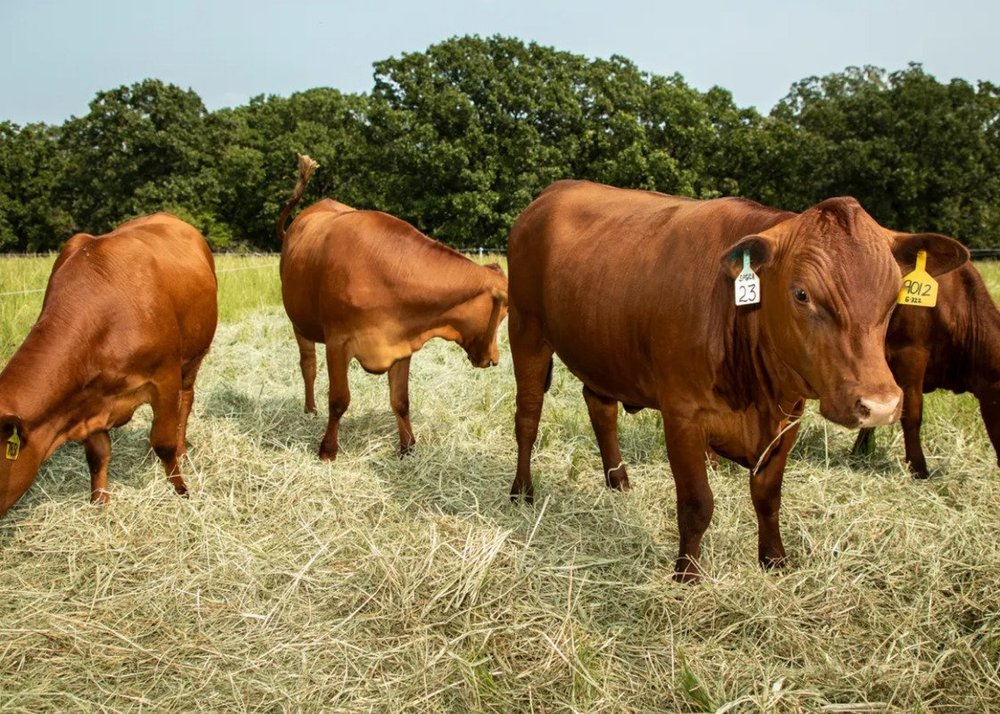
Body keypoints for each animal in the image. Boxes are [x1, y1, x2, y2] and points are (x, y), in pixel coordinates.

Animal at [0, 213, 218, 518]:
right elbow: (97, 454)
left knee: (185, 402)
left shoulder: (164, 377)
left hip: (193, 358)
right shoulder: (88, 399)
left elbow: (163, 443)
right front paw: (99, 504)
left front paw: (181, 491)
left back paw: (183, 449)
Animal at [275, 155, 508, 460]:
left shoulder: (401, 344)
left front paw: (408, 447)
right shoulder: (338, 343)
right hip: (300, 323)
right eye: (503, 315)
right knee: (308, 366)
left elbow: (401, 400)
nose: (494, 359)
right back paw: (310, 410)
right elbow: (338, 400)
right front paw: (327, 451)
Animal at [507, 180, 968, 581]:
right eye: (801, 294)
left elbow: (768, 496)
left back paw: (618, 483)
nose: (880, 404)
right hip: (526, 333)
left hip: (601, 352)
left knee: (600, 409)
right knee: (527, 418)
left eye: (895, 296)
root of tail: (554, 192)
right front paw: (687, 576)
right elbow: (696, 503)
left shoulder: (787, 418)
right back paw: (522, 492)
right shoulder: (682, 415)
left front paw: (775, 561)